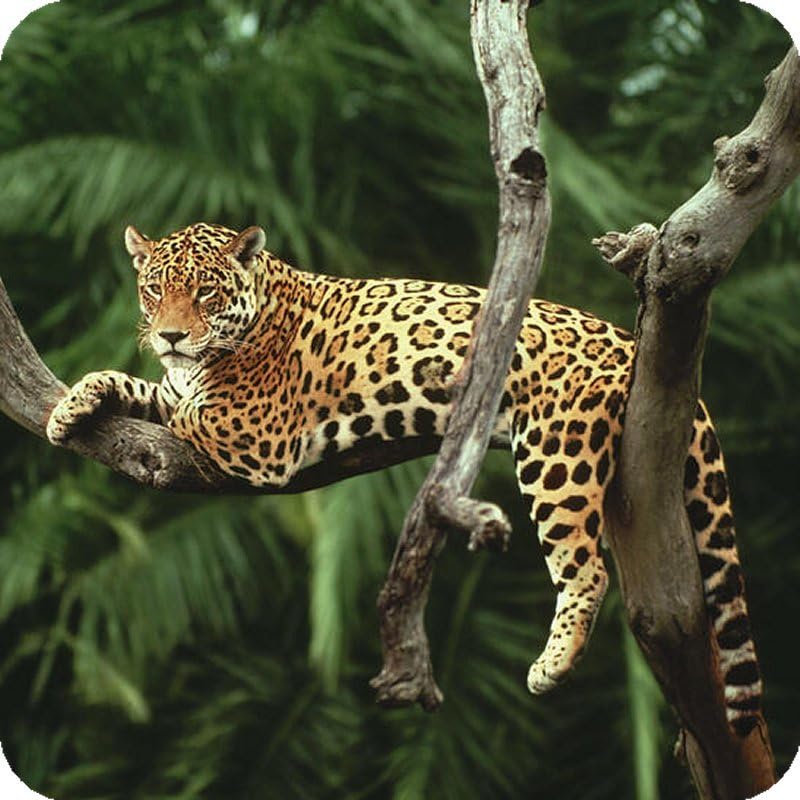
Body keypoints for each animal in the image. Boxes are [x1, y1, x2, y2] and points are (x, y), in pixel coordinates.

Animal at [47, 222, 763, 735]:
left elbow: (186, 406)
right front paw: (70, 406)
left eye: (206, 293)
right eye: (153, 291)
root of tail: (628, 342)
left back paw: (551, 666)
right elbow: (142, 386)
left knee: (585, 568)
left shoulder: (257, 433)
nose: (170, 335)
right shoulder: (185, 388)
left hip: (555, 452)